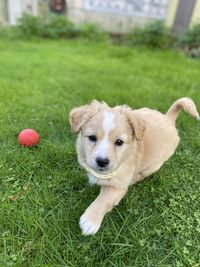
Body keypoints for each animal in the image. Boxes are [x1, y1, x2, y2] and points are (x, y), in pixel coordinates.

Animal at [69, 98, 198, 237]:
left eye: (119, 142)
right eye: (92, 137)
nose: (102, 161)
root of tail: (168, 118)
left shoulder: (118, 186)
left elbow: (104, 199)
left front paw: (90, 221)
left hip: (154, 164)